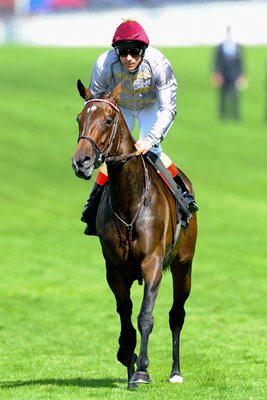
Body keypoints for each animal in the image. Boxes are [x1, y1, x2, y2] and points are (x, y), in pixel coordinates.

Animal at [72, 79, 198, 390]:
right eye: (79, 119)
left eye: (108, 120)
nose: (81, 161)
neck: (129, 202)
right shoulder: (116, 270)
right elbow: (126, 319)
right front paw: (127, 362)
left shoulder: (152, 264)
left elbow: (145, 317)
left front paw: (141, 371)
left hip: (184, 265)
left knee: (176, 315)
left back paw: (175, 371)